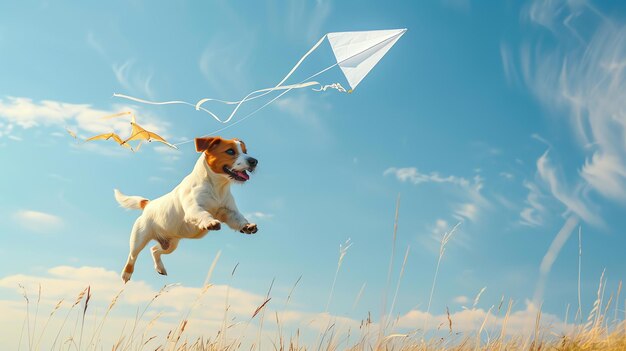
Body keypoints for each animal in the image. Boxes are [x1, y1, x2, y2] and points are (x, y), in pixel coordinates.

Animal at [113, 135, 258, 284]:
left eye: (246, 151)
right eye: (230, 151)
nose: (254, 161)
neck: (217, 188)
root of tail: (148, 204)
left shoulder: (228, 212)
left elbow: (239, 218)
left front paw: (247, 226)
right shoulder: (193, 209)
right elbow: (204, 214)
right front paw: (210, 222)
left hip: (170, 245)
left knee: (154, 250)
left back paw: (160, 268)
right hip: (139, 238)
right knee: (132, 256)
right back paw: (126, 274)